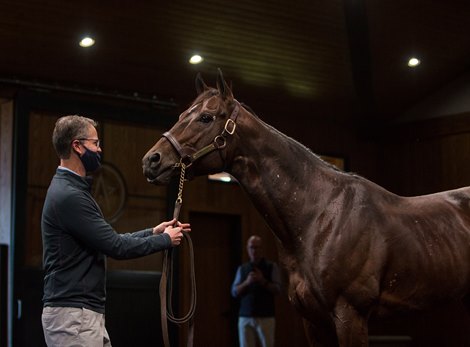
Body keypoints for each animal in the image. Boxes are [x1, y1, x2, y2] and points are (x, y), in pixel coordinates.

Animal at [141, 69, 470, 346]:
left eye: (206, 118)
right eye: (182, 114)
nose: (151, 160)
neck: (320, 216)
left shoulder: (350, 316)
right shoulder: (313, 321)